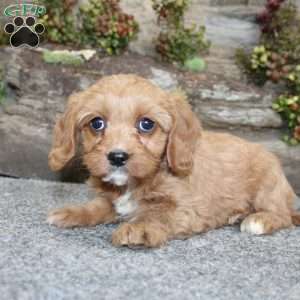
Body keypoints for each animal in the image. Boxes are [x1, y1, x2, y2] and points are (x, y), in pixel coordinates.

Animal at [47, 74, 300, 247]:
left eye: (146, 124)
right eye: (96, 123)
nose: (117, 156)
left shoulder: (187, 209)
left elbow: (159, 213)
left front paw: (138, 227)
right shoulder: (110, 200)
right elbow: (97, 206)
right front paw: (72, 212)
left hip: (267, 187)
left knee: (283, 215)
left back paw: (258, 220)